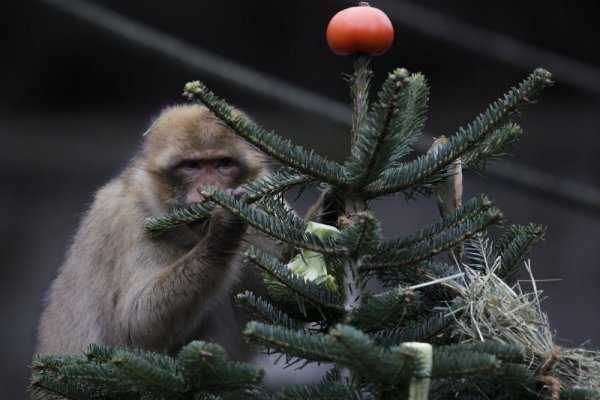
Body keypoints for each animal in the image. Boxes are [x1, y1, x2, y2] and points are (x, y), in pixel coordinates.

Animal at [34, 103, 274, 360]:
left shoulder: (263, 214)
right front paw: (224, 230)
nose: (208, 190)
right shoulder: (132, 220)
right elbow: (133, 328)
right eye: (192, 166)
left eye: (224, 164)